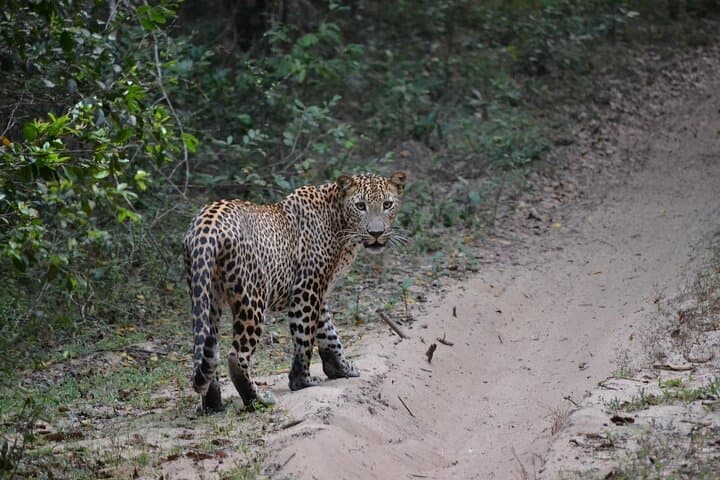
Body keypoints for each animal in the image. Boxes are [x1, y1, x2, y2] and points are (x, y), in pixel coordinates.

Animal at [183, 171, 408, 412]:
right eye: (360, 205)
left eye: (387, 204)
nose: (376, 233)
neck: (340, 221)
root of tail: (206, 225)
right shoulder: (307, 288)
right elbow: (305, 335)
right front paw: (302, 381)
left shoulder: (320, 291)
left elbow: (329, 333)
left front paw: (341, 368)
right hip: (252, 297)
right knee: (236, 355)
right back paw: (257, 400)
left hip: (206, 295)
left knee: (208, 350)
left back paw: (212, 403)